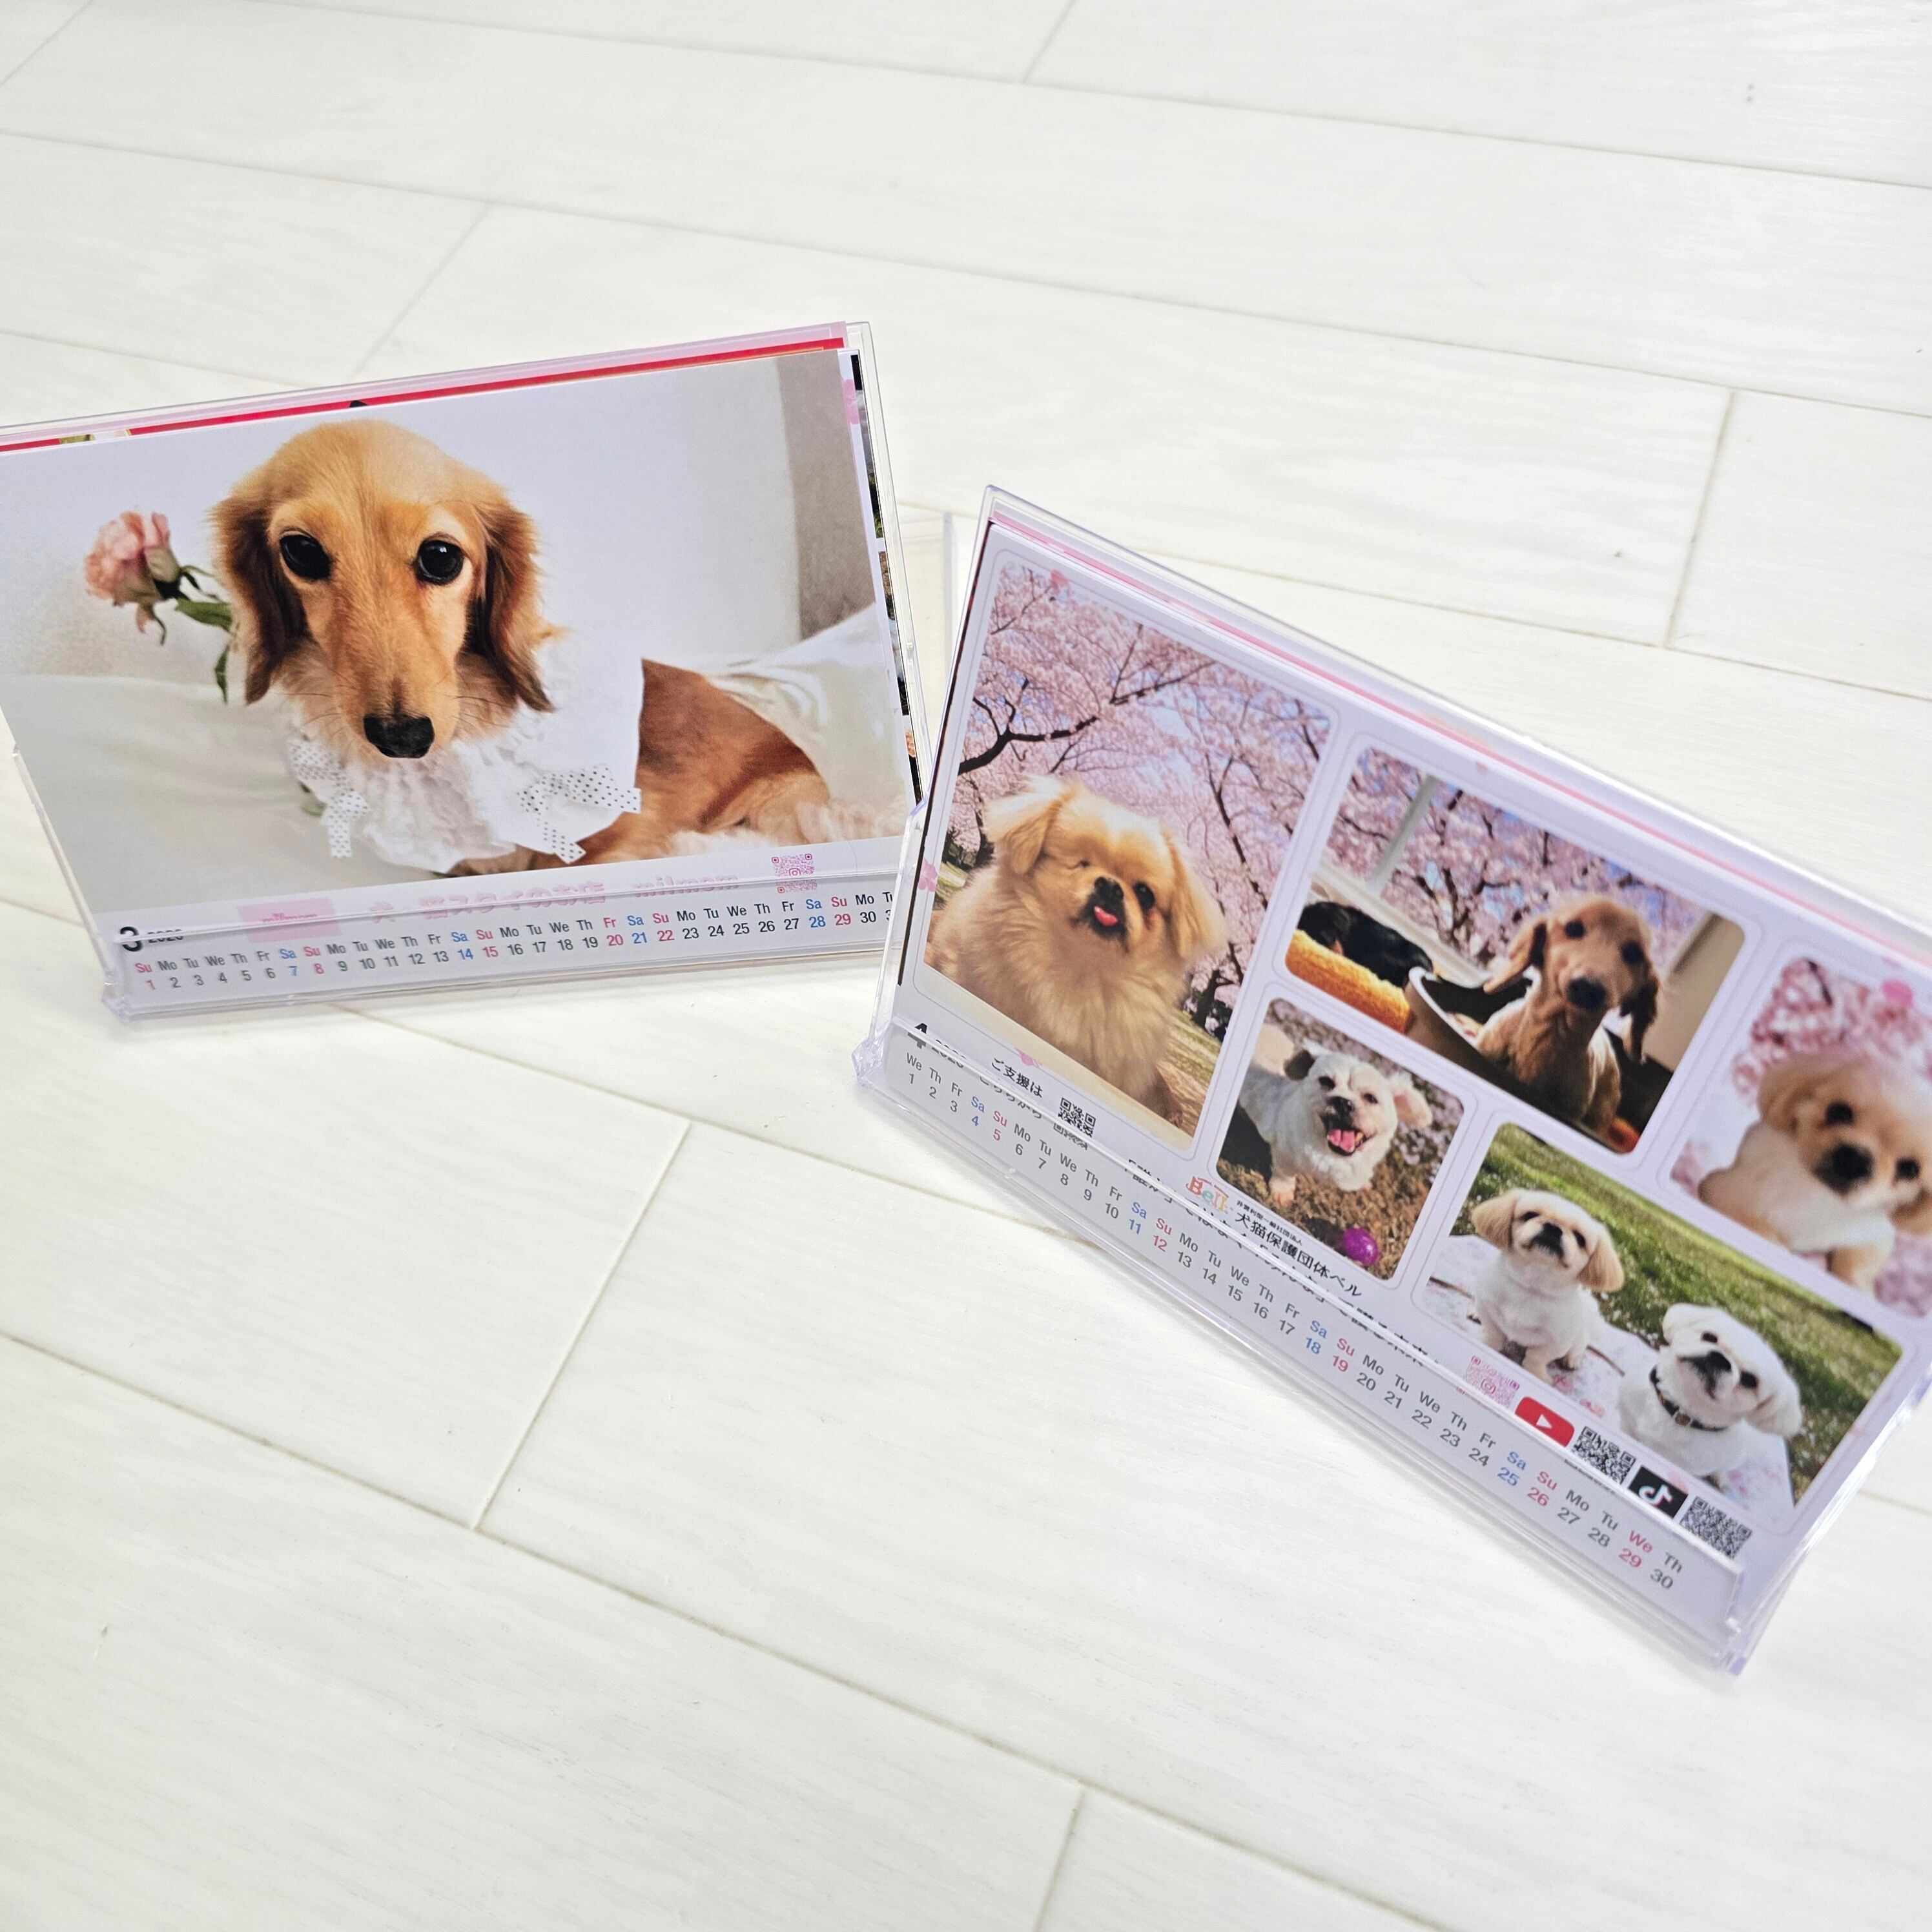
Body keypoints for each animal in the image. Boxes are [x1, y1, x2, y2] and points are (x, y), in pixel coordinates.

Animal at [1239, 1046, 1431, 1212]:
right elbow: (1285, 1173)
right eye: (1326, 1082)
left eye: (1371, 1098)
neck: (1333, 1154)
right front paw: (1282, 1192)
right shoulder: (1285, 1152)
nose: (1343, 1102)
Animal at [1466, 1188, 1624, 1382]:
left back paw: (1572, 1360)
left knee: (1579, 1347)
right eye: (1530, 1215)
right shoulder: (1488, 1307)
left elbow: (1536, 1358)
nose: (1554, 1227)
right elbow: (1493, 1334)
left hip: (1578, 1338)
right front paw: (1486, 1344)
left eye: (1580, 1239)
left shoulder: (1557, 1341)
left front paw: (1536, 1374)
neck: (1532, 1286)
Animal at [1699, 1050, 1932, 1290]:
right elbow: (1762, 1231)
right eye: (1839, 1112)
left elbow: (1856, 1264)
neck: (1816, 1191)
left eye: (1910, 1169)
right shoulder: (1726, 1192)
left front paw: (1856, 1287)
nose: (1856, 1159)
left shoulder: (1872, 1235)